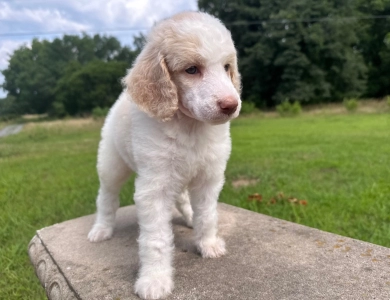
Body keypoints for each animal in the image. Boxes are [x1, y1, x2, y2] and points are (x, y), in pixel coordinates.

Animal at [88, 11, 241, 300]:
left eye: (227, 67)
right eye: (191, 69)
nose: (231, 105)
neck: (190, 126)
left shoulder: (209, 178)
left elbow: (208, 215)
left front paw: (208, 244)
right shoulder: (154, 187)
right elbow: (155, 239)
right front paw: (155, 280)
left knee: (181, 197)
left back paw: (189, 217)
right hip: (112, 164)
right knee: (106, 198)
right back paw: (101, 229)